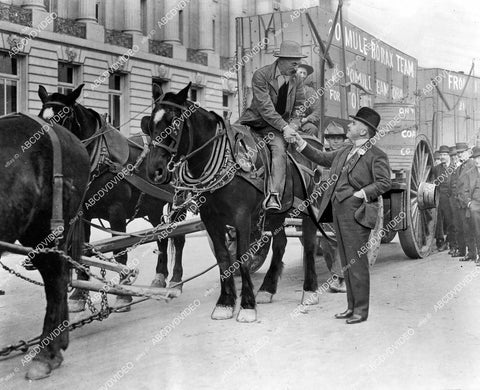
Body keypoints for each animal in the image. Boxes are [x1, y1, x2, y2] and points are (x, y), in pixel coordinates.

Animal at [37, 85, 187, 314]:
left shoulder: (117, 213)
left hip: (179, 202)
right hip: (153, 206)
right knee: (161, 236)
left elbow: (119, 252)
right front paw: (78, 293)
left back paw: (176, 280)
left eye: (63, 118)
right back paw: (160, 277)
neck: (100, 158)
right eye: (40, 117)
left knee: (178, 239)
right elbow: (84, 251)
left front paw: (123, 294)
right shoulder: (83, 216)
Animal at [142, 83, 322, 322]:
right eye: (151, 124)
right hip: (277, 212)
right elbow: (223, 259)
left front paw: (246, 306)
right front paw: (225, 302)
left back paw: (309, 290)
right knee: (280, 244)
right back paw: (267, 288)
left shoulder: (242, 217)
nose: (155, 170)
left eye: (174, 122)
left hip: (310, 207)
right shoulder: (211, 219)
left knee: (309, 244)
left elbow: (242, 258)